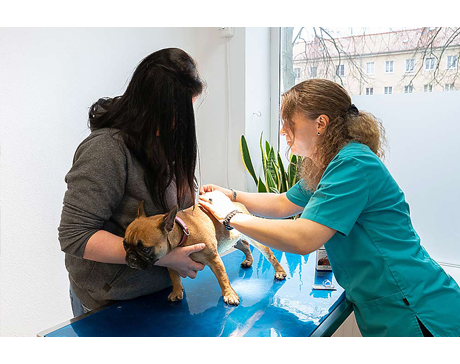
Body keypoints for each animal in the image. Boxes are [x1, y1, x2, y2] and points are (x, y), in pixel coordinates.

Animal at [124, 200, 286, 306]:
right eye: (125, 245)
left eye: (145, 249)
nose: (131, 258)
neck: (182, 233)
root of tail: (237, 203)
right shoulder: (171, 262)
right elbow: (174, 278)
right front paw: (176, 292)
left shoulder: (214, 259)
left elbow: (222, 278)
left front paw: (229, 295)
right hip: (232, 240)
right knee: (245, 246)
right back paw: (248, 260)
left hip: (253, 236)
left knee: (268, 253)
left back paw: (279, 271)